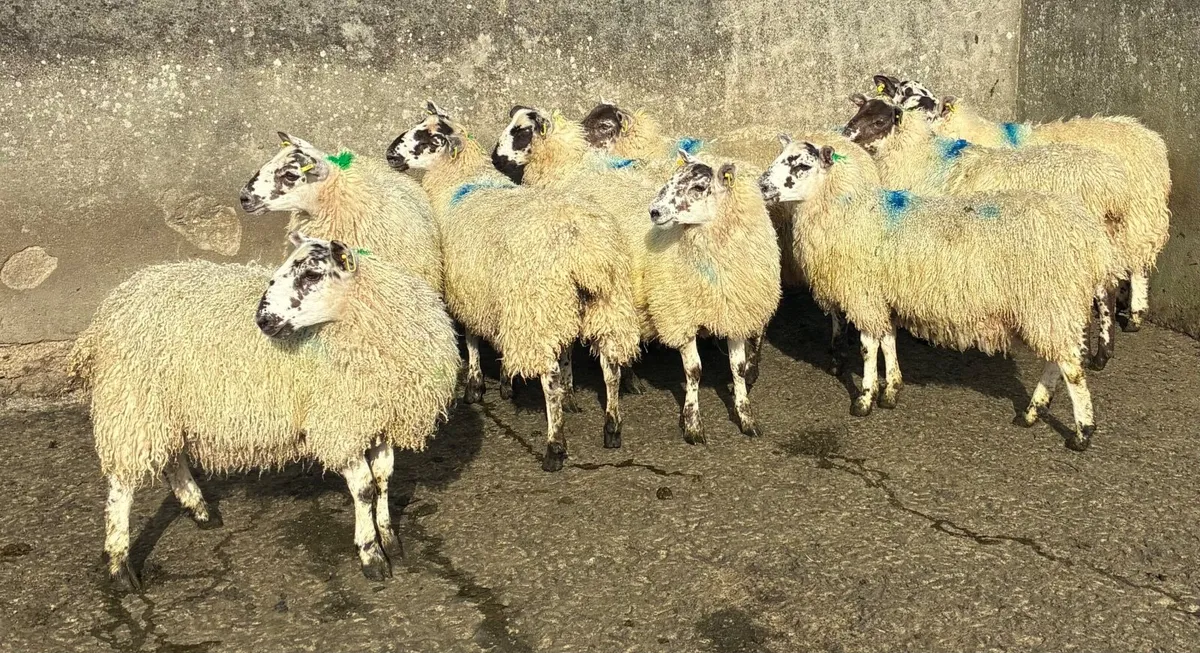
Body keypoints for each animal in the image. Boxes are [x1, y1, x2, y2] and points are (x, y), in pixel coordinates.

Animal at [67, 232, 460, 590]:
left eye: (311, 274)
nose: (263, 320)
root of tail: (112, 307)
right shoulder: (337, 424)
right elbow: (364, 489)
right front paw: (370, 554)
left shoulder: (378, 419)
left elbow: (383, 479)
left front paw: (389, 538)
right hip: (132, 403)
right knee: (122, 487)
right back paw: (119, 566)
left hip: (165, 406)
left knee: (172, 459)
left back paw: (199, 510)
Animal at [385, 102, 641, 471]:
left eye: (427, 138)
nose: (390, 154)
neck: (462, 182)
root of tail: (583, 248)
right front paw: (535, 386)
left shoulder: (470, 290)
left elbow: (473, 337)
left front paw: (478, 386)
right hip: (605, 304)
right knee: (611, 368)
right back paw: (612, 428)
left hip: (538, 307)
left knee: (549, 379)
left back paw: (555, 447)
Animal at [759, 133, 1116, 451]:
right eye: (780, 157)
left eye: (801, 165)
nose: (762, 185)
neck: (849, 211)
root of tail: (1090, 235)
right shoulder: (884, 294)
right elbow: (888, 339)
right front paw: (892, 390)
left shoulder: (863, 294)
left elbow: (868, 346)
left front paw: (864, 399)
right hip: (1051, 307)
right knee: (1058, 360)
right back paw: (1031, 413)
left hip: (1049, 301)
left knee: (1072, 368)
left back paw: (1082, 433)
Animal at [843, 96, 1136, 370]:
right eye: (859, 111)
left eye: (879, 121)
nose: (845, 135)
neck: (921, 159)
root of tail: (1114, 187)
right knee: (1108, 289)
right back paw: (1100, 353)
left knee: (1103, 293)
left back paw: (1098, 353)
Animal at [875, 74, 1171, 332]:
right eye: (901, 94)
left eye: (921, 103)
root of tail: (1148, 136)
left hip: (1138, 219)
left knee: (1138, 265)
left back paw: (1134, 315)